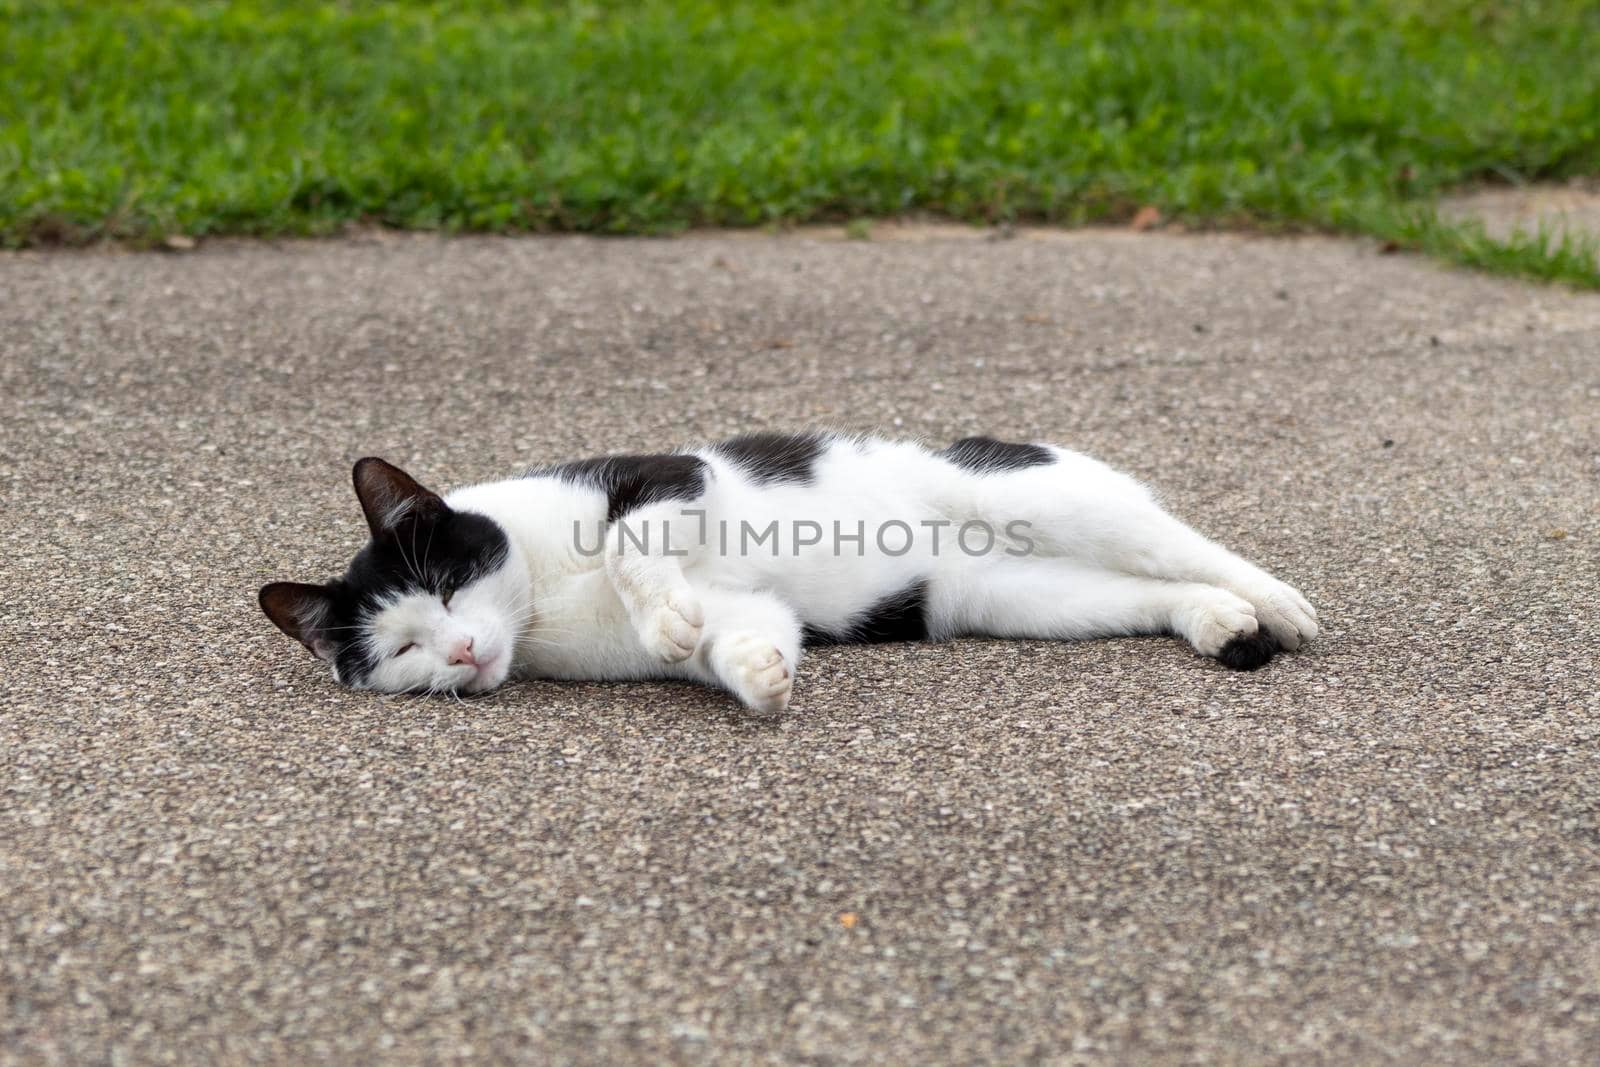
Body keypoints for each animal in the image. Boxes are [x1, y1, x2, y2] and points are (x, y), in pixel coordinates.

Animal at [259, 428, 1312, 713]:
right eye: (401, 650)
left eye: (445, 587)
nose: (463, 651)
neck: (538, 606)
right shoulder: (747, 608)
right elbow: (743, 639)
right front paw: (759, 677)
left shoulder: (664, 476)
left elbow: (634, 545)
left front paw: (661, 613)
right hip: (1026, 599)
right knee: (1149, 590)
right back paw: (1220, 622)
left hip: (1048, 497)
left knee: (1184, 541)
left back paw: (1279, 603)